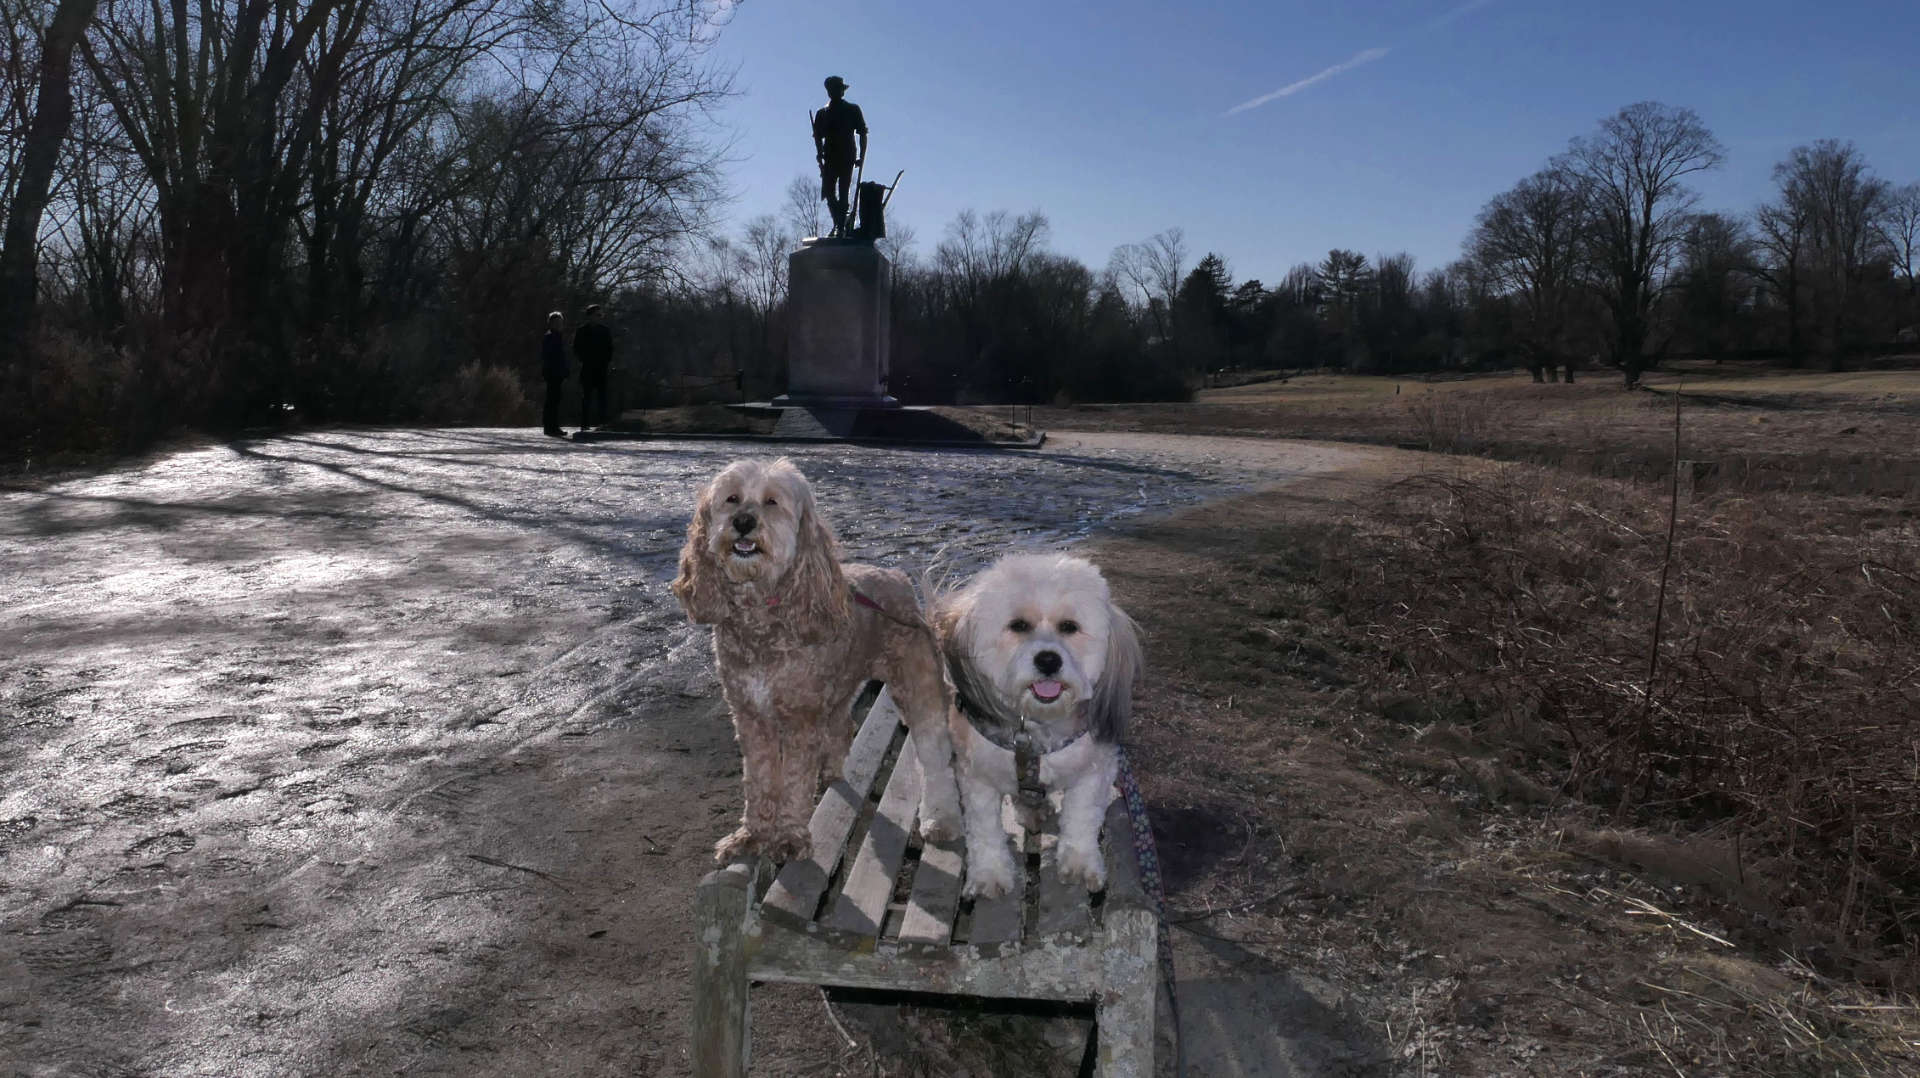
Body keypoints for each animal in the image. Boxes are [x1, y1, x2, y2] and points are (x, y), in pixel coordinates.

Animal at [675, 457, 967, 860]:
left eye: (772, 502)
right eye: (731, 499)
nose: (743, 521)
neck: (762, 612)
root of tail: (897, 577)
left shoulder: (801, 717)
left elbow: (795, 780)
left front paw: (789, 837)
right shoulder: (750, 716)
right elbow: (759, 781)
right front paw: (752, 835)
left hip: (917, 686)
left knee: (936, 755)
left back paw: (941, 820)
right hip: (842, 683)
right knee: (844, 725)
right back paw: (831, 770)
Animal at [933, 549, 1136, 895]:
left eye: (1069, 626)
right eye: (1018, 625)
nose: (1048, 660)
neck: (1036, 731)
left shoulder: (1094, 770)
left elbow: (1082, 817)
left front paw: (1079, 862)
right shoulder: (976, 776)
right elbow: (984, 829)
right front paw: (990, 873)